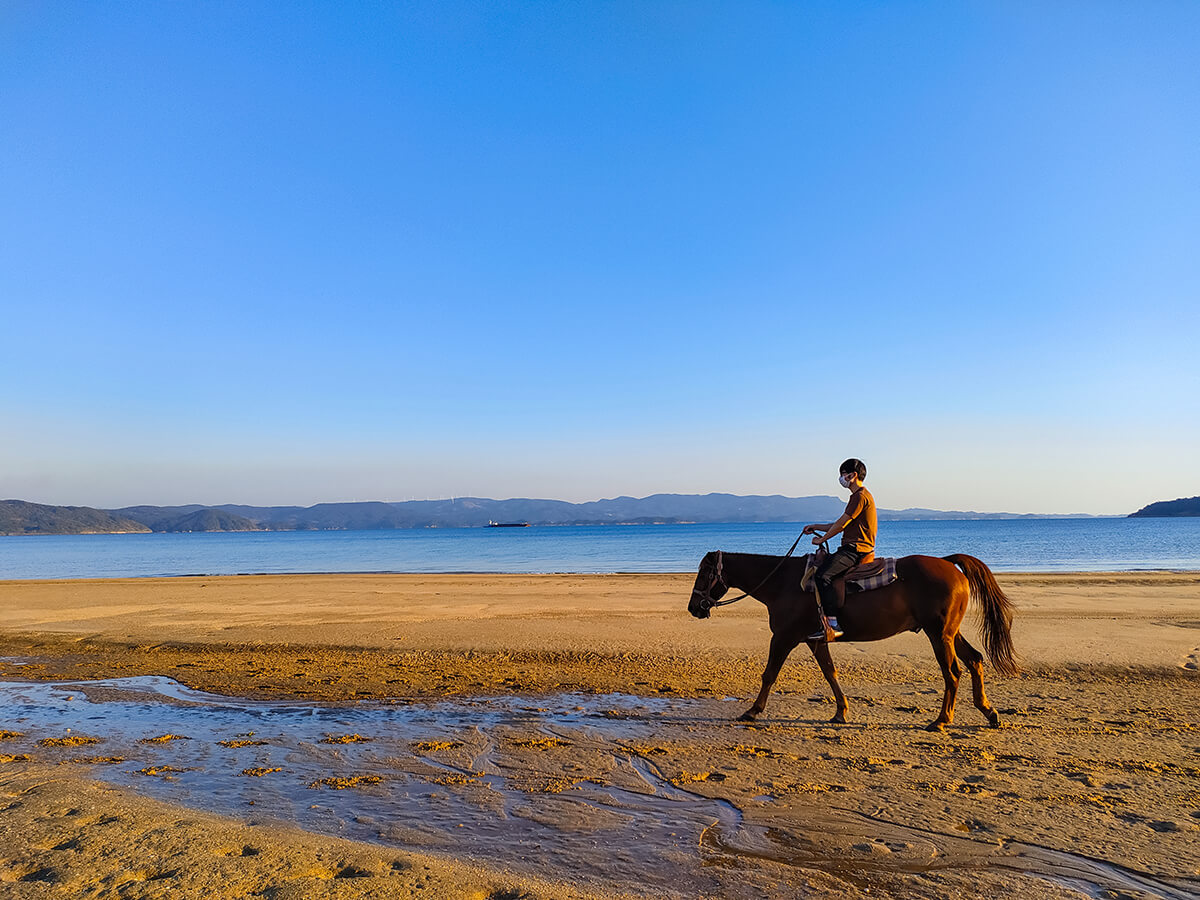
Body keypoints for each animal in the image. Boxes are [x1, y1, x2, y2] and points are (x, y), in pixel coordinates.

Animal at [691, 549, 1017, 734]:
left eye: (705, 573)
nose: (694, 607)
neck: (782, 582)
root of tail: (949, 565)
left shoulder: (784, 637)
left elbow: (769, 674)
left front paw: (753, 711)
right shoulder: (814, 640)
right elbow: (830, 672)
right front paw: (841, 711)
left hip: (938, 634)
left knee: (952, 673)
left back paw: (941, 720)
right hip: (949, 632)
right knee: (975, 660)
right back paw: (988, 711)